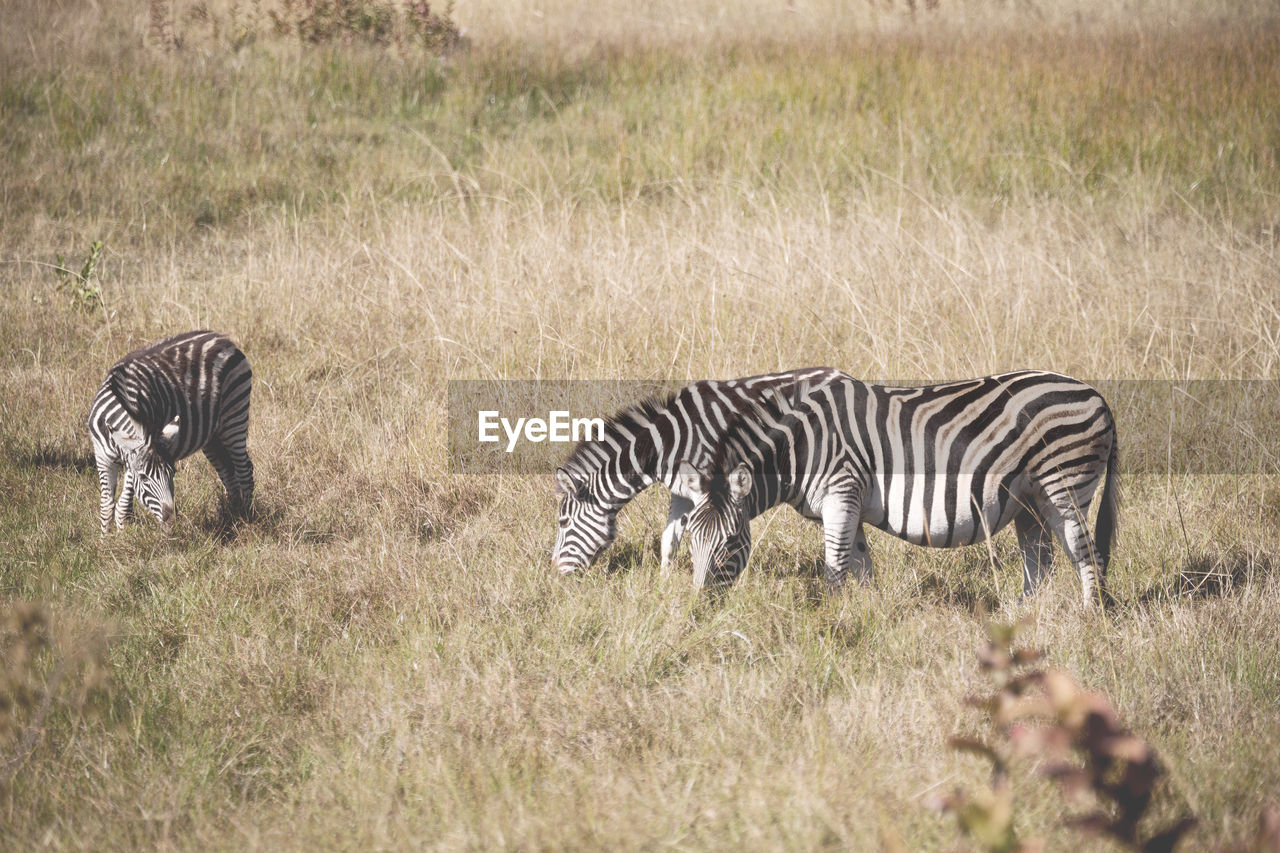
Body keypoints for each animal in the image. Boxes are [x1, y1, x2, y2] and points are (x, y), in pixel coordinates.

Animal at [89, 326, 254, 532]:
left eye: (172, 473)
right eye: (144, 477)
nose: (170, 520)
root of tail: (222, 339)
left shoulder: (130, 461)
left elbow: (122, 508)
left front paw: (122, 536)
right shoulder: (103, 459)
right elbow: (106, 508)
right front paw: (106, 539)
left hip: (234, 417)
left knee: (245, 468)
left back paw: (247, 518)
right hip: (211, 437)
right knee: (227, 471)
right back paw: (232, 516)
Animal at [552, 366, 839, 571]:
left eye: (563, 522)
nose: (555, 571)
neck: (665, 444)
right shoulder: (682, 491)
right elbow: (668, 542)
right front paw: (663, 592)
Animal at [680, 366, 1121, 604]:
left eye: (732, 542)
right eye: (690, 541)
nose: (700, 608)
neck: (803, 444)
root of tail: (1098, 395)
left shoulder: (842, 492)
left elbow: (835, 570)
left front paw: (829, 623)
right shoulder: (850, 504)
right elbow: (861, 567)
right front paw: (869, 615)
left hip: (1065, 487)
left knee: (1088, 557)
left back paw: (1088, 624)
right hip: (1030, 500)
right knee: (1040, 564)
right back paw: (1022, 620)